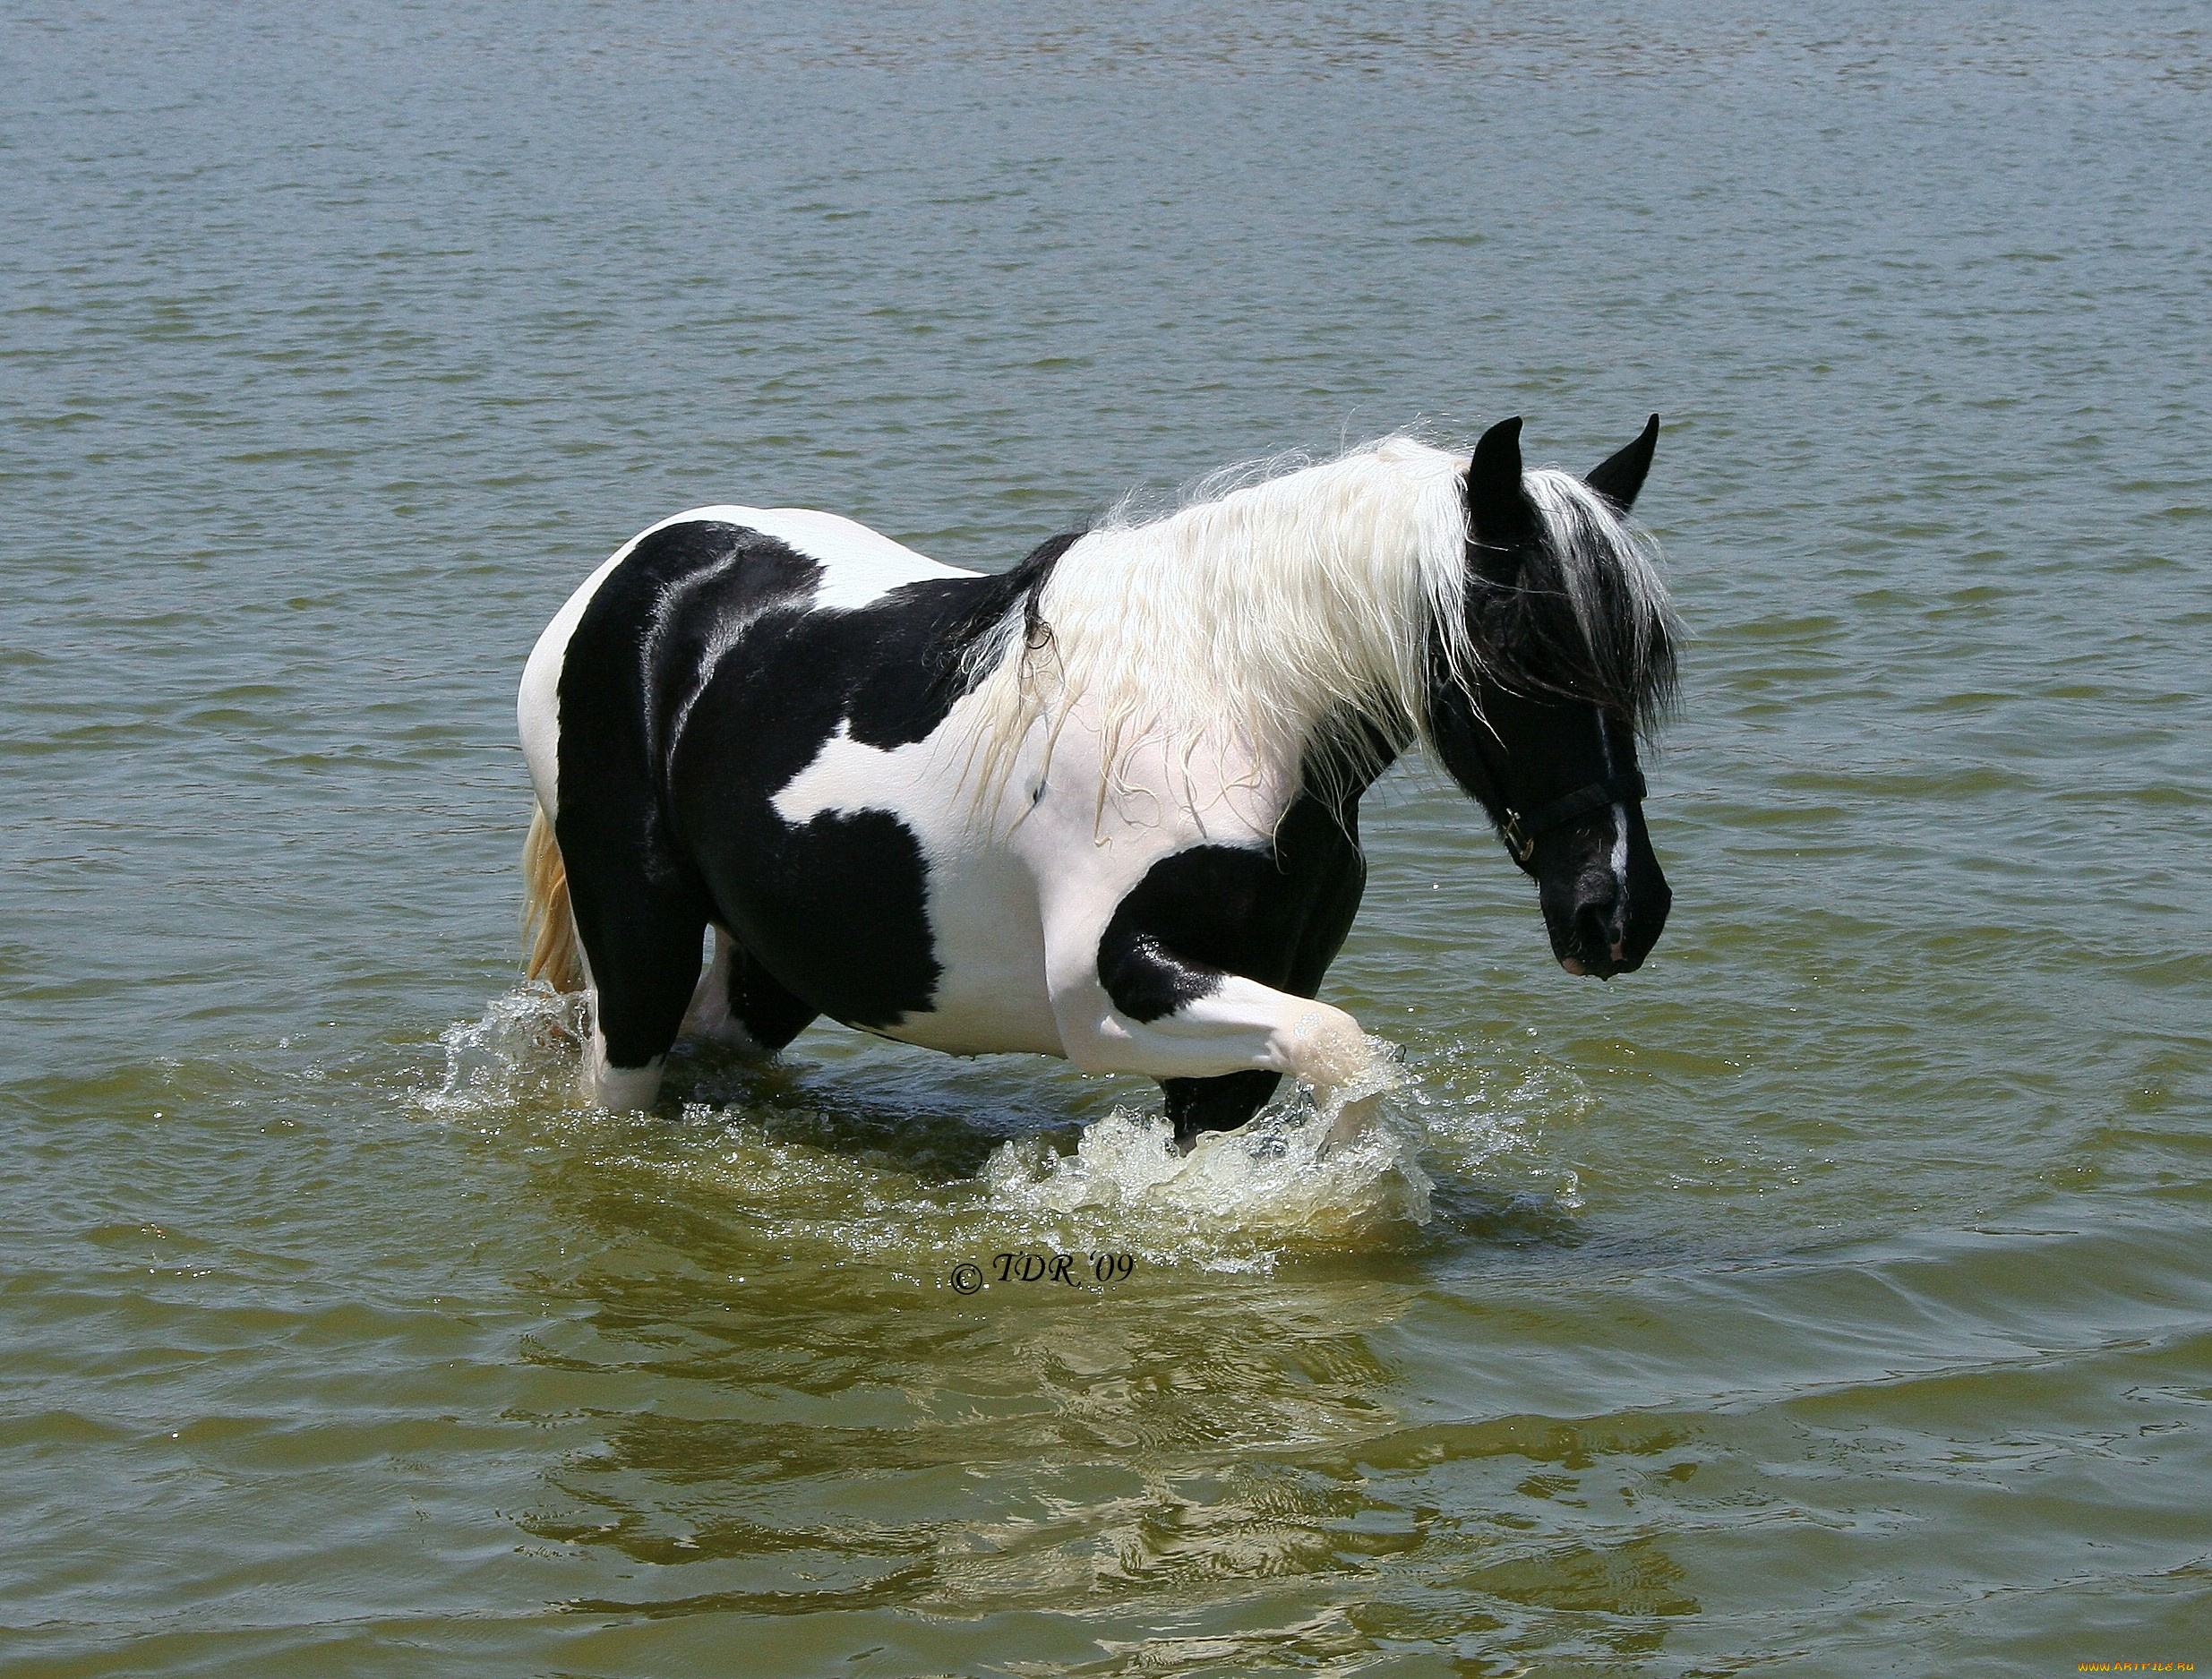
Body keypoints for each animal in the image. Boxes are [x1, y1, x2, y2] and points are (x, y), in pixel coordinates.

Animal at [517, 415, 1678, 1148]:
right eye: (1519, 650)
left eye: (1641, 666)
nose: (1618, 911)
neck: (1225, 708)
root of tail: (635, 576)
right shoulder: (1110, 994)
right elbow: (1346, 1056)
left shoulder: (1242, 1013)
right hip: (640, 950)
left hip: (781, 959)